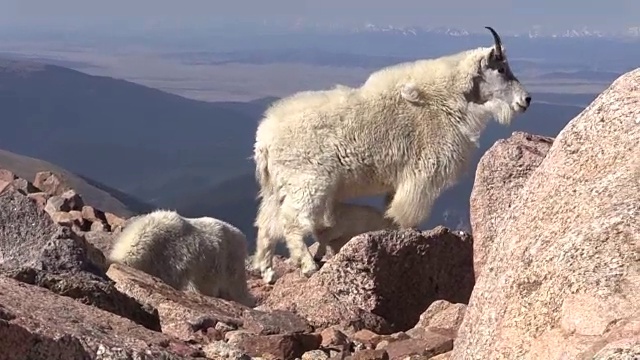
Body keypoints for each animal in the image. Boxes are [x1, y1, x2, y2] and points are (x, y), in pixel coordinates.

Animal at [252, 26, 532, 282]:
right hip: (307, 182)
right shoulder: (422, 173)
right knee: (291, 220)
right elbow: (408, 213)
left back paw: (267, 271)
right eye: (501, 69)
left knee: (266, 224)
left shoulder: (399, 180)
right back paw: (307, 265)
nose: (526, 100)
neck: (450, 97)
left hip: (275, 188)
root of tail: (264, 139)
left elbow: (390, 209)